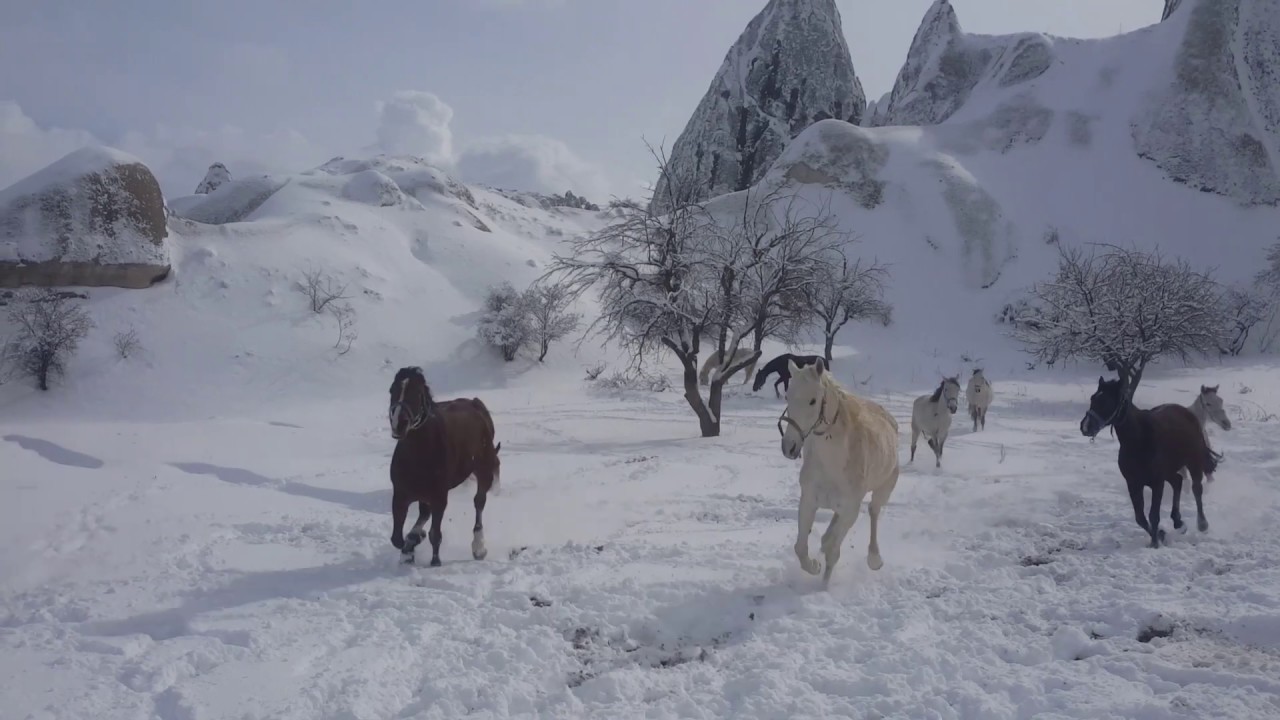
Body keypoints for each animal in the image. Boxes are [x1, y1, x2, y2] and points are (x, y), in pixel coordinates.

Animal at [387, 366, 502, 566]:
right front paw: (410, 548)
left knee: (479, 503)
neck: (417, 455)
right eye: (392, 390)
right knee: (424, 514)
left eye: (416, 393)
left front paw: (435, 562)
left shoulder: (439, 497)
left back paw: (479, 548)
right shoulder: (400, 495)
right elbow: (397, 538)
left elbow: (435, 534)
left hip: (484, 470)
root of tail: (476, 405)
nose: (398, 424)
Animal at [777, 357, 900, 586]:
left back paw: (874, 559)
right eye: (787, 396)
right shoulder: (808, 501)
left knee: (874, 511)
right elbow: (801, 548)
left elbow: (833, 552)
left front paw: (823, 588)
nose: (789, 447)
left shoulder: (850, 511)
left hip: (883, 490)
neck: (832, 462)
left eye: (813, 401)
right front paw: (814, 566)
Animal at [1080, 376, 1217, 548]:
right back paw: (1178, 522)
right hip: (1170, 471)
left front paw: (1154, 543)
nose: (1085, 426)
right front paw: (1160, 535)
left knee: (1196, 489)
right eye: (1093, 398)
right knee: (1177, 482)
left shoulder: (1157, 483)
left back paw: (1202, 524)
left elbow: (1153, 515)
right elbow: (1140, 517)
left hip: (1193, 462)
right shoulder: (1133, 483)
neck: (1139, 439)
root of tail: (1187, 413)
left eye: (1105, 401)